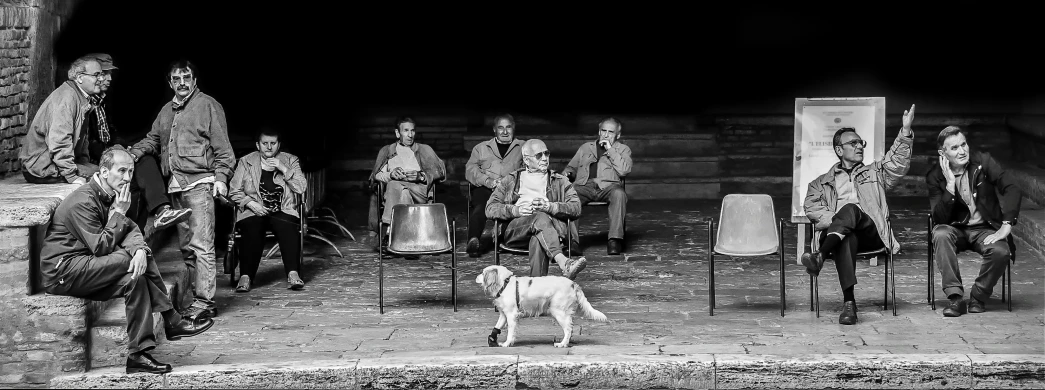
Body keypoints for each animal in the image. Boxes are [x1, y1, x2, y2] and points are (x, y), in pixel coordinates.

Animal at [474, 264, 606, 347]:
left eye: (482, 273)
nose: (476, 276)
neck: (505, 284)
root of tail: (573, 284)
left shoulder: (511, 315)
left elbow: (510, 332)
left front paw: (507, 344)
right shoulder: (503, 314)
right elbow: (497, 326)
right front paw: (492, 339)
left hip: (559, 312)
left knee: (568, 329)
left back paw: (562, 344)